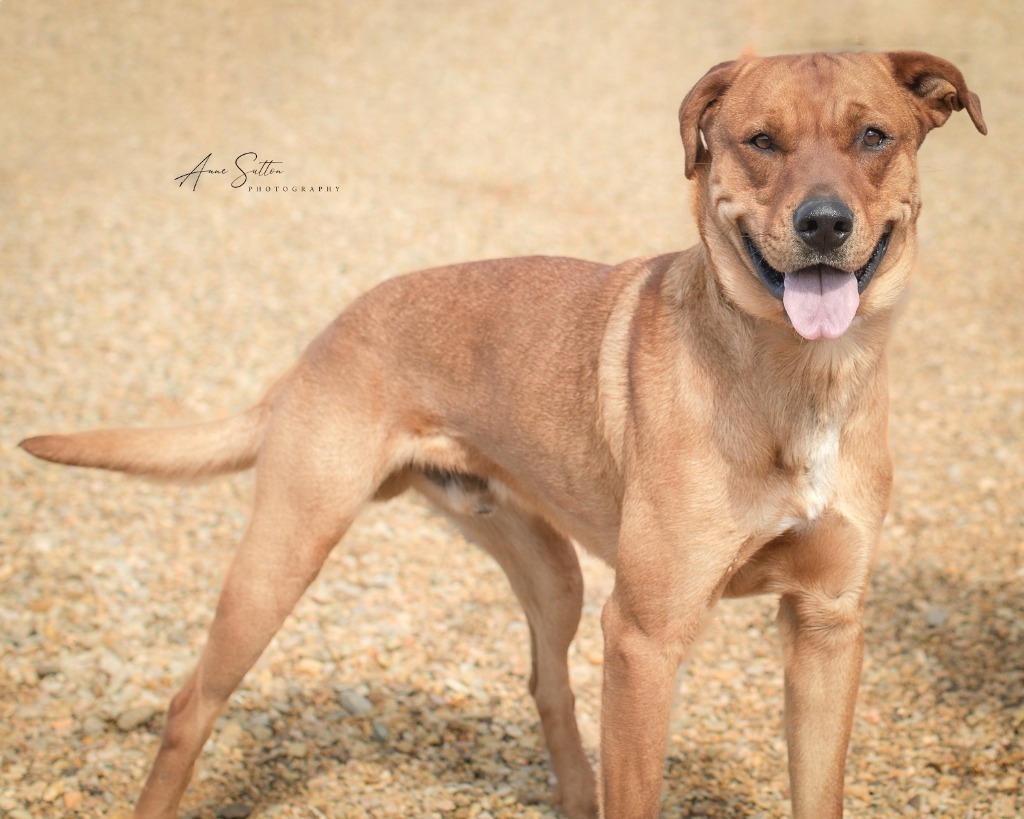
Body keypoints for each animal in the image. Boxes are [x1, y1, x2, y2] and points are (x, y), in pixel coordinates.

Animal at [22, 52, 983, 818]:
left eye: (873, 136)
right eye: (761, 141)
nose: (823, 222)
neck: (799, 377)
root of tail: (324, 337)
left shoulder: (827, 625)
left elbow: (817, 787)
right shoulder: (645, 638)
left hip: (554, 575)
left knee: (547, 688)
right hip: (284, 553)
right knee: (190, 704)